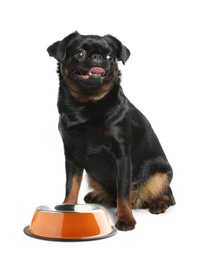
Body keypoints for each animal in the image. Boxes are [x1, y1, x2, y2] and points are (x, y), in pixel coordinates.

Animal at [46, 31, 175, 231]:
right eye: (79, 54)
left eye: (110, 57)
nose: (98, 57)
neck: (86, 106)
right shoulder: (72, 156)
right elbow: (71, 186)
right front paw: (67, 209)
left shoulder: (122, 157)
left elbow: (123, 193)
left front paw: (125, 218)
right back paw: (97, 196)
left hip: (160, 175)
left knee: (167, 194)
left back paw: (159, 203)